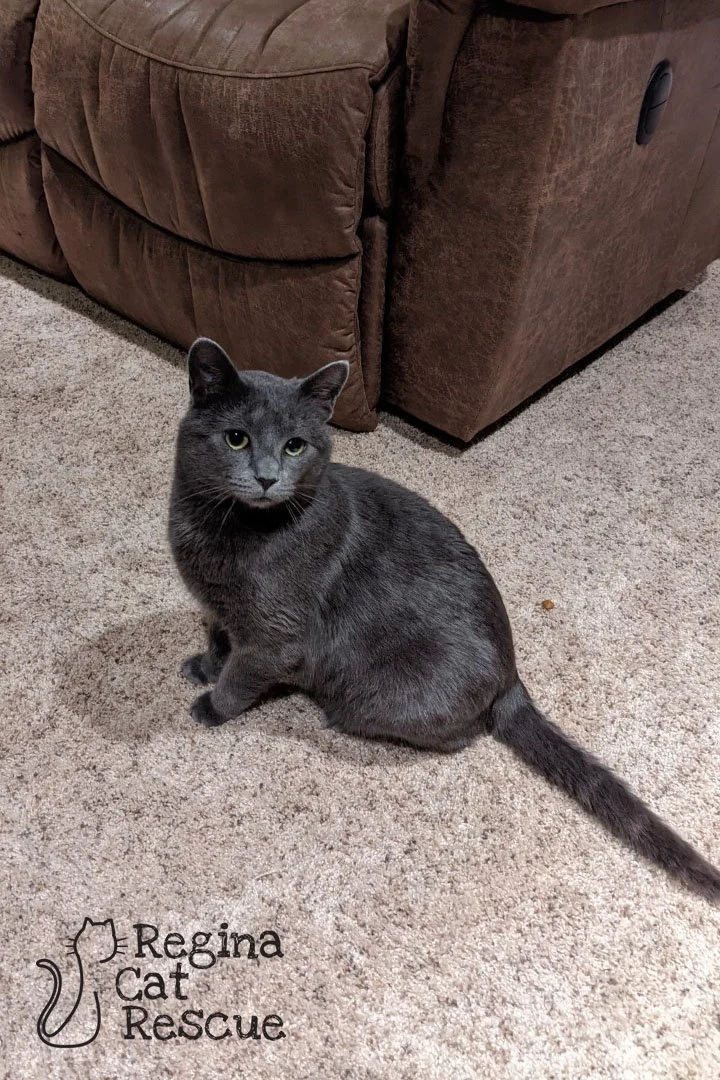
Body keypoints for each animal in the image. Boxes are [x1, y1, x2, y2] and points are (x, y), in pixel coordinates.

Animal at [168, 337, 720, 903]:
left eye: (295, 446)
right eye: (236, 438)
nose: (265, 477)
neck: (224, 532)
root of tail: (512, 674)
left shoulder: (275, 636)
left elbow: (242, 675)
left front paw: (211, 706)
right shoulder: (218, 606)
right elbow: (218, 639)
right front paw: (203, 667)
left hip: (381, 698)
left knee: (456, 735)